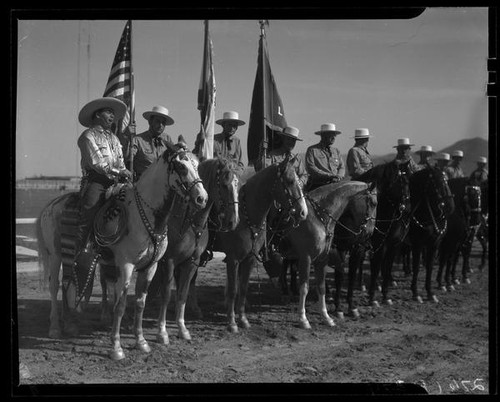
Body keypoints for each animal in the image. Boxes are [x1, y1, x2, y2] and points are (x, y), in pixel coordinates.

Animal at [35, 146, 207, 360]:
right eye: (181, 166)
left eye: (197, 165)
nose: (202, 198)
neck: (144, 217)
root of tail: (51, 205)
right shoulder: (126, 266)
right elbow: (121, 305)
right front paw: (116, 348)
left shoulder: (151, 267)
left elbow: (140, 303)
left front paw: (141, 342)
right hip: (55, 255)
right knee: (54, 287)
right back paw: (55, 328)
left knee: (69, 284)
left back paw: (70, 324)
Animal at [151, 156, 239, 342]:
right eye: (224, 184)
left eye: (237, 184)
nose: (233, 221)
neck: (189, 222)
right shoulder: (169, 261)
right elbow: (166, 294)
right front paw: (162, 332)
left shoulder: (191, 261)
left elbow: (182, 293)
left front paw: (182, 328)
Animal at [282, 181, 372, 328]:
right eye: (374, 203)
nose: (369, 232)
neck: (318, 217)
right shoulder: (306, 258)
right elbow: (305, 287)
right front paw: (303, 318)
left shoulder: (322, 259)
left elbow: (322, 286)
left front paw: (326, 317)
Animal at [358, 159, 412, 306]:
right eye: (400, 181)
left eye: (409, 181)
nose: (407, 208)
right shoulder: (379, 246)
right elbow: (376, 267)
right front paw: (372, 297)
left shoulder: (393, 246)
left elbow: (387, 267)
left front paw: (385, 295)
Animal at [406, 166, 458, 302]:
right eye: (437, 182)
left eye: (447, 181)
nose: (451, 206)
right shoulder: (417, 245)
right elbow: (416, 266)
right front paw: (415, 293)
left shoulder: (433, 244)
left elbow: (429, 267)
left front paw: (430, 292)